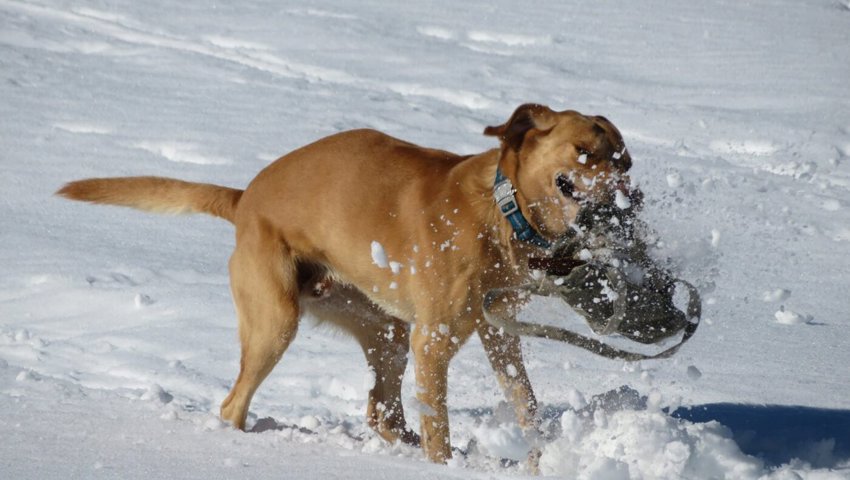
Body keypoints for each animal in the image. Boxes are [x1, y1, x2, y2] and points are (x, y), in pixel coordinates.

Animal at [56, 103, 628, 464]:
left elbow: (525, 403)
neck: (502, 213)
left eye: (624, 159)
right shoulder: (434, 341)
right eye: (583, 151)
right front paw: (445, 465)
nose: (628, 196)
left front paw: (536, 459)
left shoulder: (499, 334)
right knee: (234, 404)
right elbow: (439, 427)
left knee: (381, 412)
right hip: (277, 321)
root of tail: (244, 198)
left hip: (386, 330)